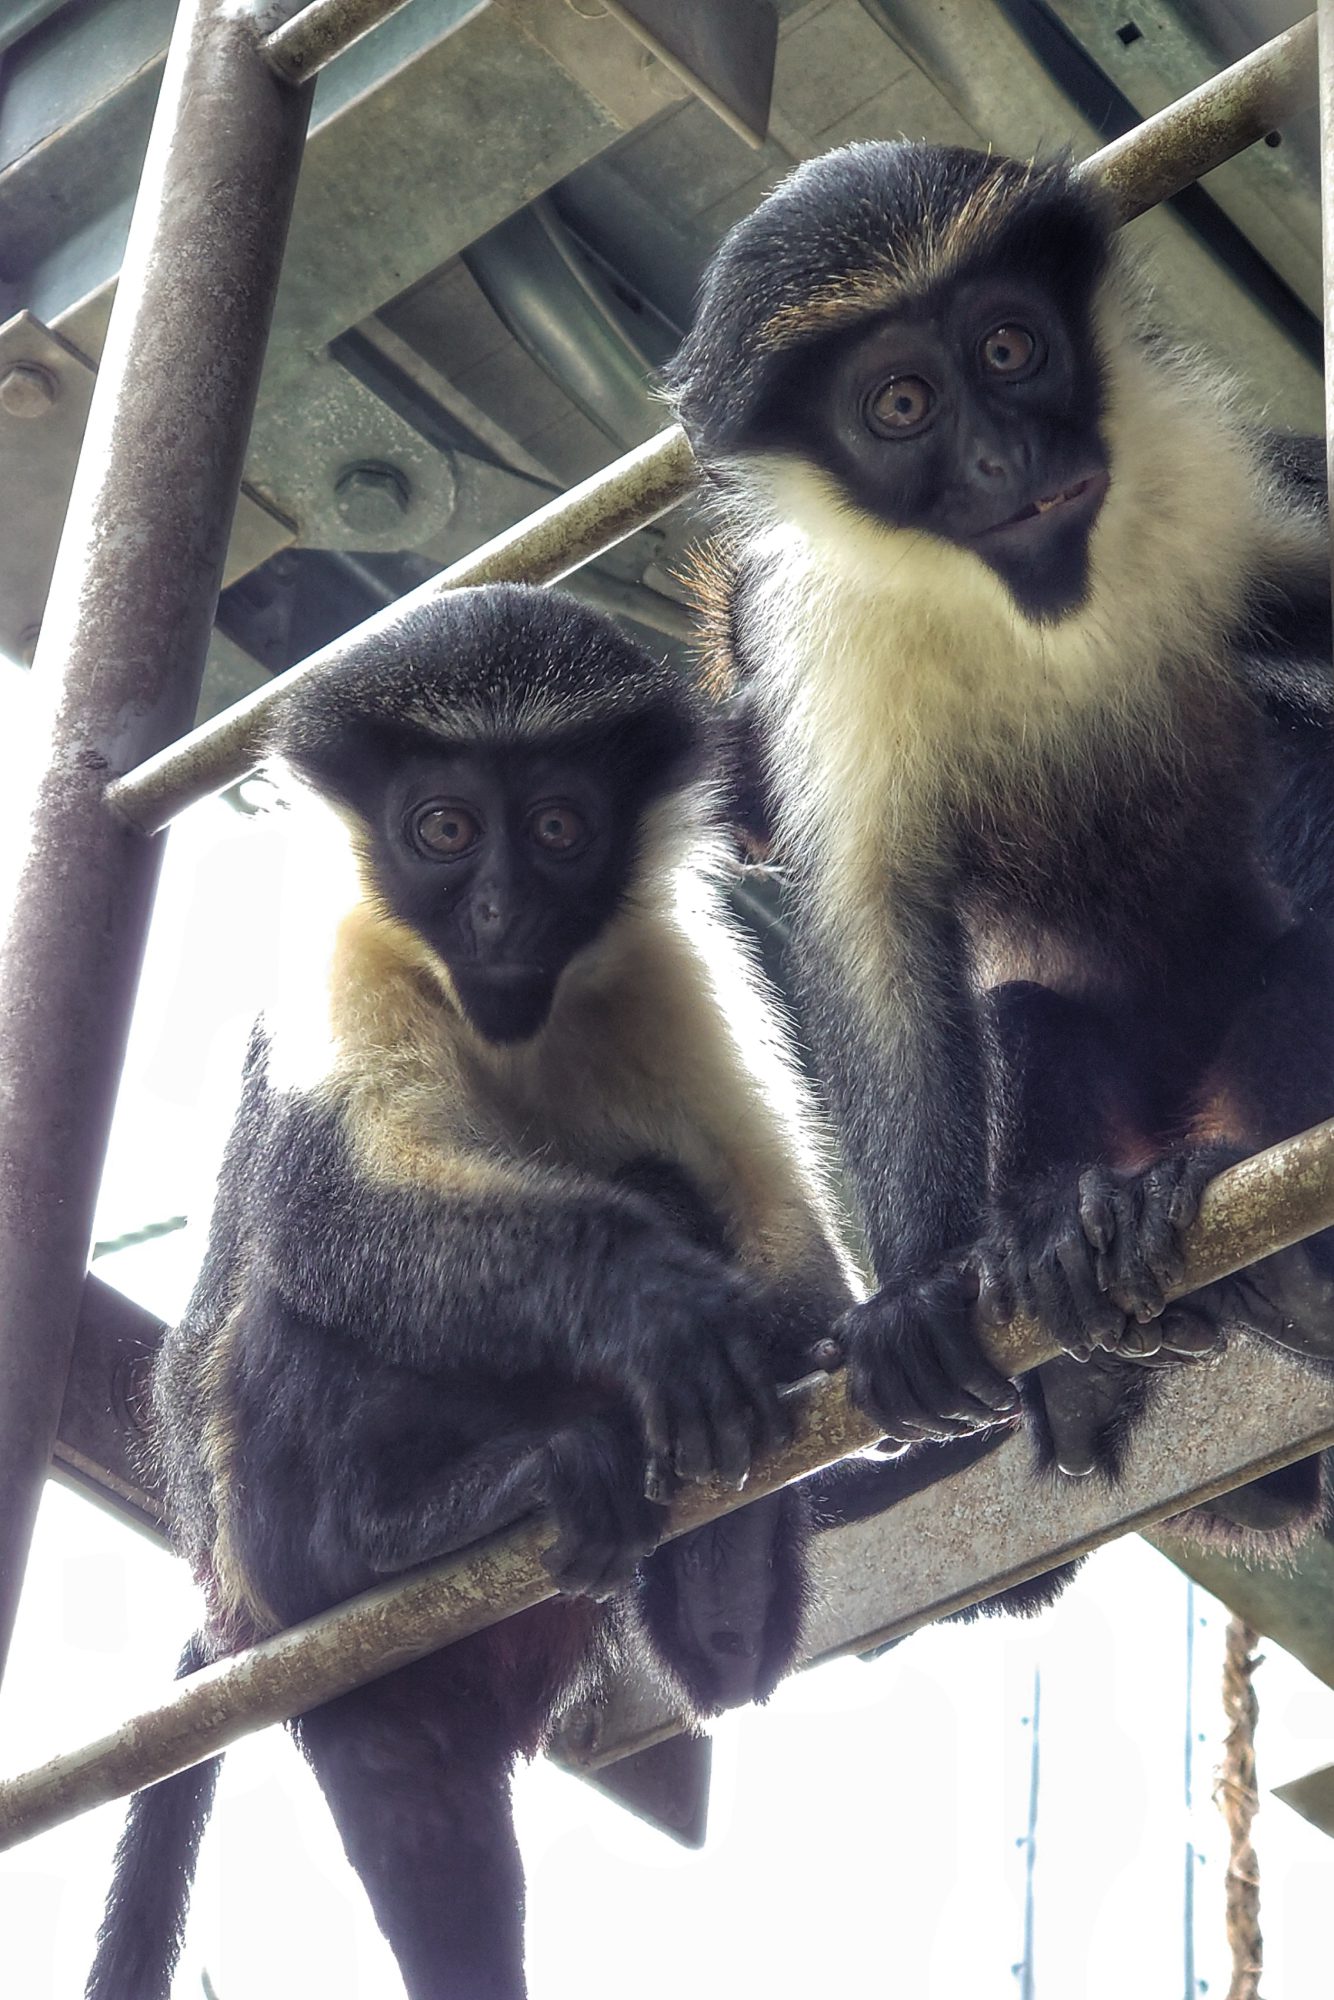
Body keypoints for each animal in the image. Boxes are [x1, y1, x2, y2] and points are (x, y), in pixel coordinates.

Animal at [86, 584, 856, 2000]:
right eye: (443, 828)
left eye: (556, 827)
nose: (498, 909)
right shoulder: (344, 956)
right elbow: (324, 1213)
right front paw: (660, 1312)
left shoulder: (665, 962)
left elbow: (781, 1234)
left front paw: (788, 1340)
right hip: (259, 1516)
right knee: (290, 1307)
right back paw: (415, 1520)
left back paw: (717, 1589)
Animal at [668, 145, 1334, 1528]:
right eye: (902, 403)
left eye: (1010, 347)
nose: (1001, 453)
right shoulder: (829, 653)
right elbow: (869, 921)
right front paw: (918, 1292)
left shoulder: (1220, 484)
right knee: (1027, 1018)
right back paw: (1076, 1268)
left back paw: (1259, 1240)